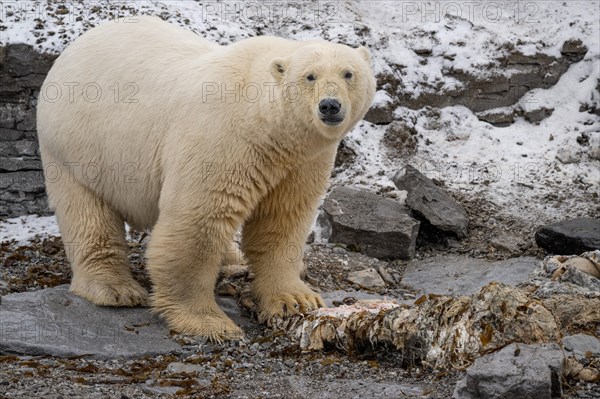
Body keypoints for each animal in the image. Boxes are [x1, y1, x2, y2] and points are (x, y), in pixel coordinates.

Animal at [36, 15, 376, 340]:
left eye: (348, 73)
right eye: (310, 76)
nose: (329, 105)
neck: (267, 126)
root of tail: (73, 48)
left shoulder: (301, 161)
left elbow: (281, 220)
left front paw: (295, 299)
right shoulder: (223, 137)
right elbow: (199, 220)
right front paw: (209, 322)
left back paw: (231, 258)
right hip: (77, 145)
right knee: (87, 213)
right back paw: (114, 289)